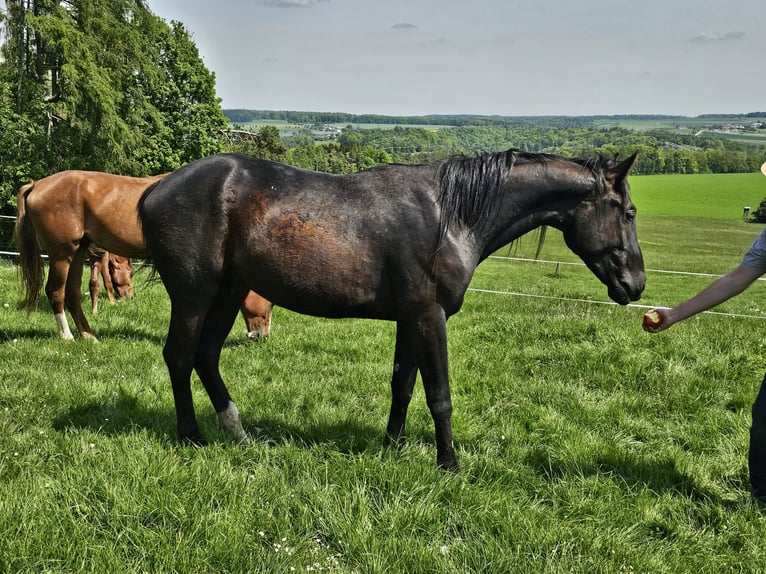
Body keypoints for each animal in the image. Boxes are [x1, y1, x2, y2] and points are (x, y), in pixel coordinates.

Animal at [13, 171, 274, 342]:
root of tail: (37, 185)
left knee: (73, 293)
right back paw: (67, 336)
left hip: (78, 251)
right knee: (55, 291)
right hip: (62, 253)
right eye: (270, 304)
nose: (262, 336)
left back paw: (89, 336)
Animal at [140, 152, 648, 472]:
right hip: (194, 295)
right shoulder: (429, 317)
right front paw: (449, 464)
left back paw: (237, 431)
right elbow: (439, 395)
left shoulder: (410, 319)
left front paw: (393, 446)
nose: (636, 285)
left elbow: (402, 385)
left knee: (206, 357)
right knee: (179, 357)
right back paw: (191, 435)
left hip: (229, 292)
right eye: (628, 212)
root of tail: (155, 190)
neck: (450, 216)